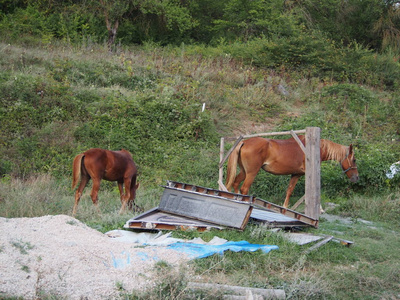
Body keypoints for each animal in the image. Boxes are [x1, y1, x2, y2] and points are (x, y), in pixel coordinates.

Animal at [225, 137, 360, 209]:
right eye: (354, 159)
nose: (356, 178)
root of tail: (245, 142)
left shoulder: (296, 174)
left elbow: (289, 190)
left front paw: (285, 207)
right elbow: (314, 193)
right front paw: (320, 210)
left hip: (244, 171)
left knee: (235, 183)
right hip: (252, 172)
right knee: (244, 188)